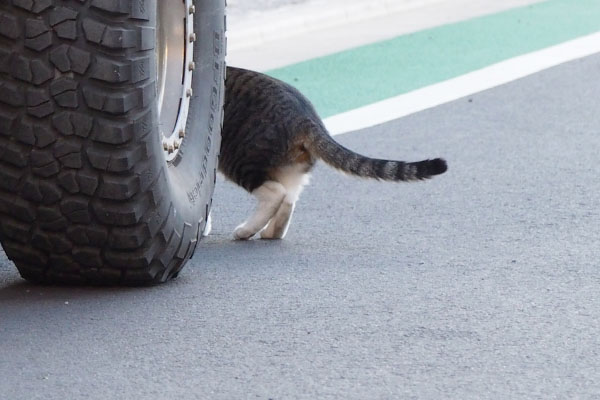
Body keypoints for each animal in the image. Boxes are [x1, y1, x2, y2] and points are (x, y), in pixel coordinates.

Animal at [206, 67, 446, 241]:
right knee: (289, 197)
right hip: (287, 167)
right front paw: (206, 225)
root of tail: (306, 117)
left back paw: (245, 231)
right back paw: (271, 232)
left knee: (276, 194)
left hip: (242, 159)